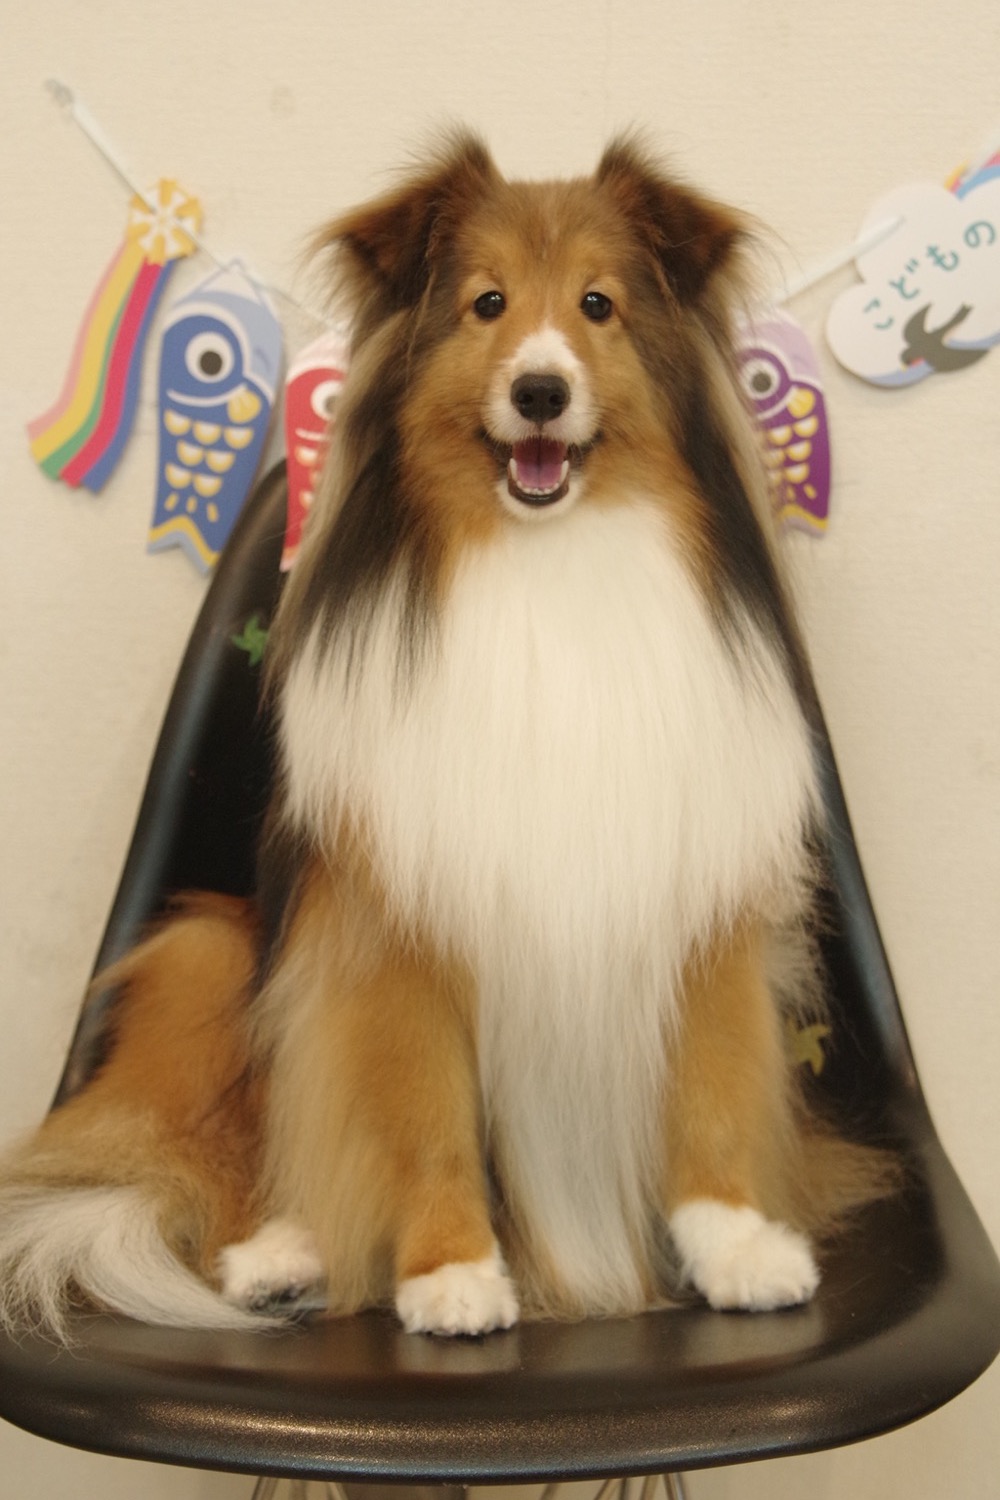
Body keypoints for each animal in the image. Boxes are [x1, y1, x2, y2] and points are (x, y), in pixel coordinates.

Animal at [0, 133, 887, 1341]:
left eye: (598, 304)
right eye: (487, 304)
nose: (539, 389)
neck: (547, 566)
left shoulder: (691, 887)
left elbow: (710, 1078)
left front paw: (737, 1244)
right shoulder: (397, 919)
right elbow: (417, 1110)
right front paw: (449, 1272)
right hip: (211, 948)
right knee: (234, 1159)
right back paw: (282, 1251)